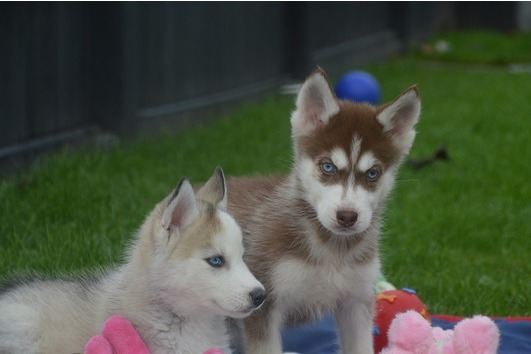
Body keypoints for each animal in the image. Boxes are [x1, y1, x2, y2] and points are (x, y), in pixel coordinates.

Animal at [227, 69, 422, 354]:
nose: (347, 217)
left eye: (372, 173)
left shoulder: (356, 302)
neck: (333, 252)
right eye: (327, 167)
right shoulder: (263, 306)